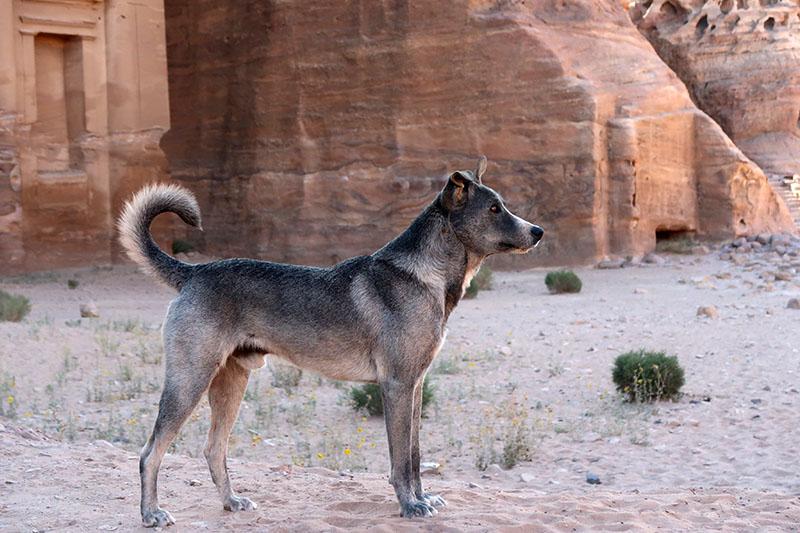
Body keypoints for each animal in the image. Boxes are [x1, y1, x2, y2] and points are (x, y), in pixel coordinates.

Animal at [119, 156, 544, 524]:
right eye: (494, 209)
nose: (538, 232)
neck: (426, 276)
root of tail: (194, 272)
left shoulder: (416, 384)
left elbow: (415, 455)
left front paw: (422, 498)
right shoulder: (397, 386)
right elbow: (401, 461)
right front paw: (409, 505)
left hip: (231, 382)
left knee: (213, 449)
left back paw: (231, 501)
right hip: (189, 380)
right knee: (150, 453)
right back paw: (151, 514)